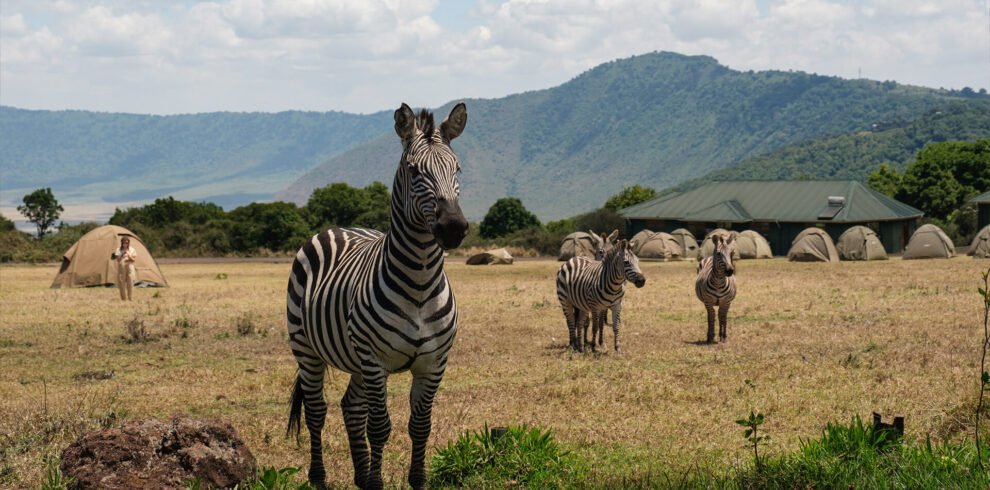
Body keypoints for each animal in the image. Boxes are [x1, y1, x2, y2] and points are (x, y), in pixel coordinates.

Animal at [286, 102, 468, 490]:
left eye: (457, 168)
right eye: (414, 170)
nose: (453, 228)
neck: (420, 283)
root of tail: (340, 227)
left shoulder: (433, 363)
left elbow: (420, 426)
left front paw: (414, 480)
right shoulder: (375, 360)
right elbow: (380, 427)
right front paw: (377, 480)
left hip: (355, 359)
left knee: (349, 406)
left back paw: (360, 474)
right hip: (307, 349)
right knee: (317, 412)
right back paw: (319, 477)